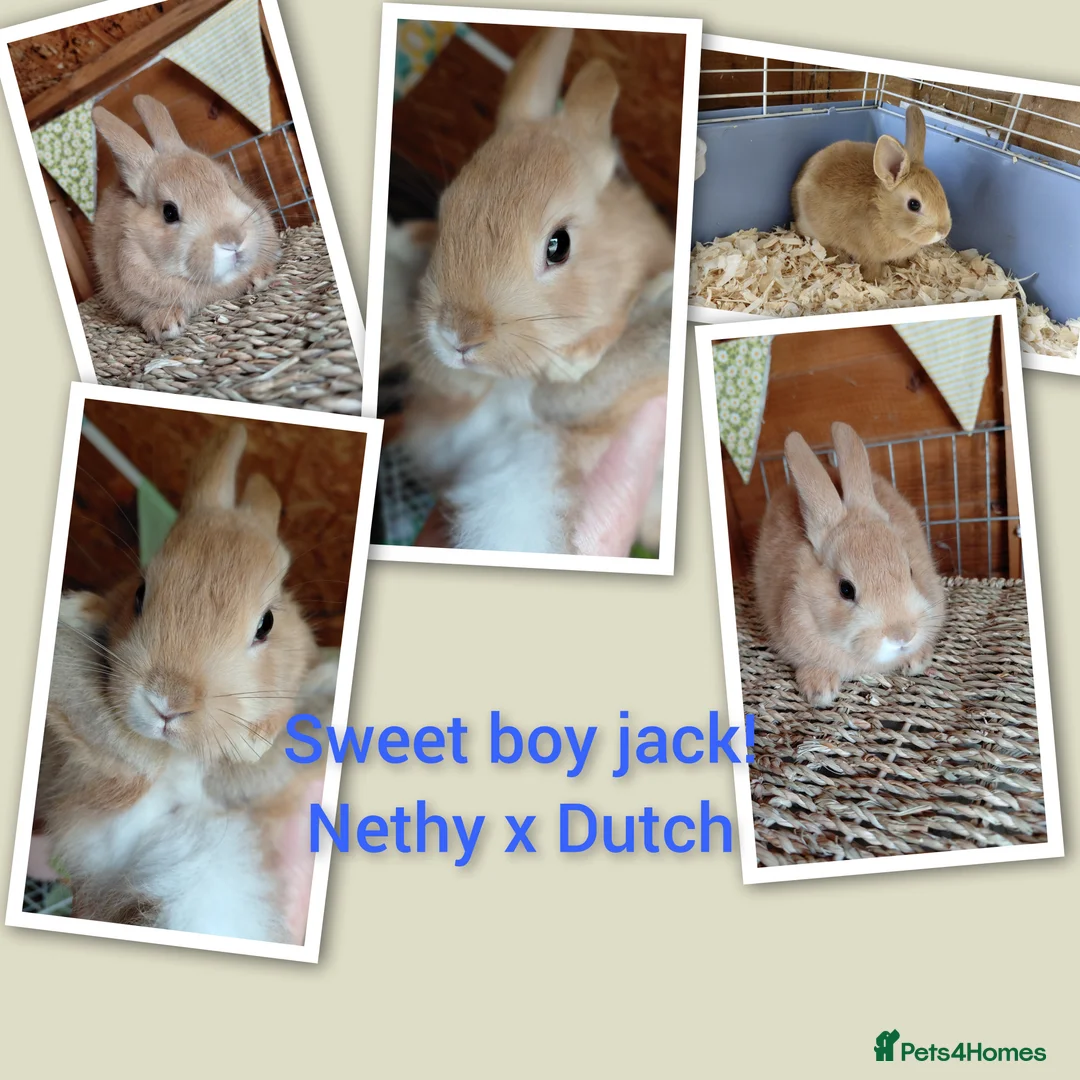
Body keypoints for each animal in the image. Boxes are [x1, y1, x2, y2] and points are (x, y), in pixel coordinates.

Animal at [790, 105, 952, 283]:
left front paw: (905, 266)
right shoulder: (868, 255)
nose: (944, 231)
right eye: (914, 204)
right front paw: (875, 281)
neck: (882, 215)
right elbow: (871, 267)